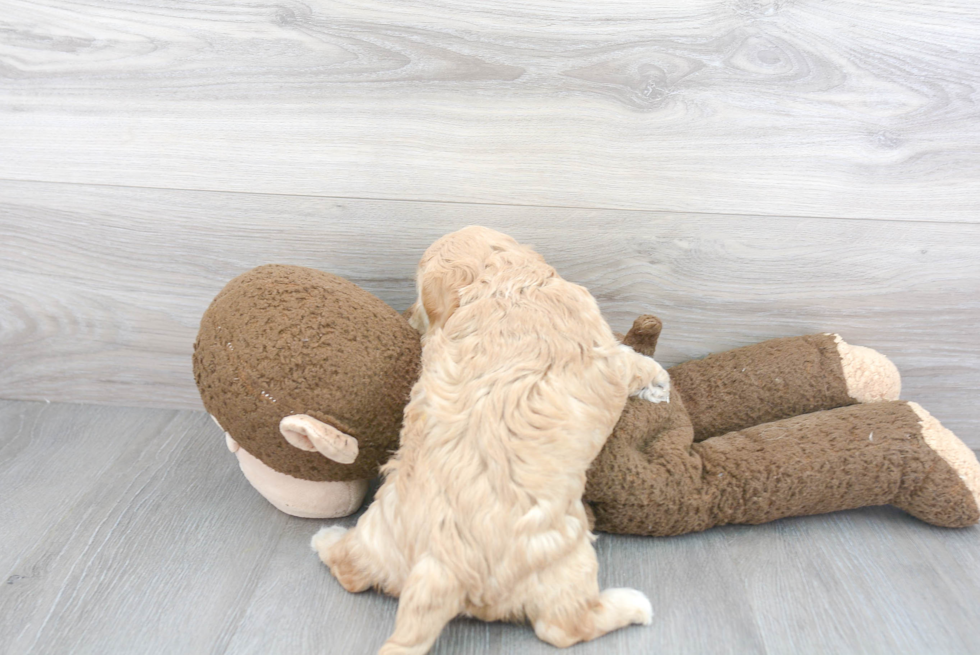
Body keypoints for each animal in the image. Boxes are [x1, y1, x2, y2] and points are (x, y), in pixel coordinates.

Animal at [314, 228, 672, 652]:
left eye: (418, 296)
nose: (407, 315)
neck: (503, 284)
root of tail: (440, 567)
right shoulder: (607, 351)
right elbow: (634, 361)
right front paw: (658, 380)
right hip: (562, 559)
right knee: (564, 627)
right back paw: (634, 605)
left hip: (380, 533)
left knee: (351, 570)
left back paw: (326, 539)